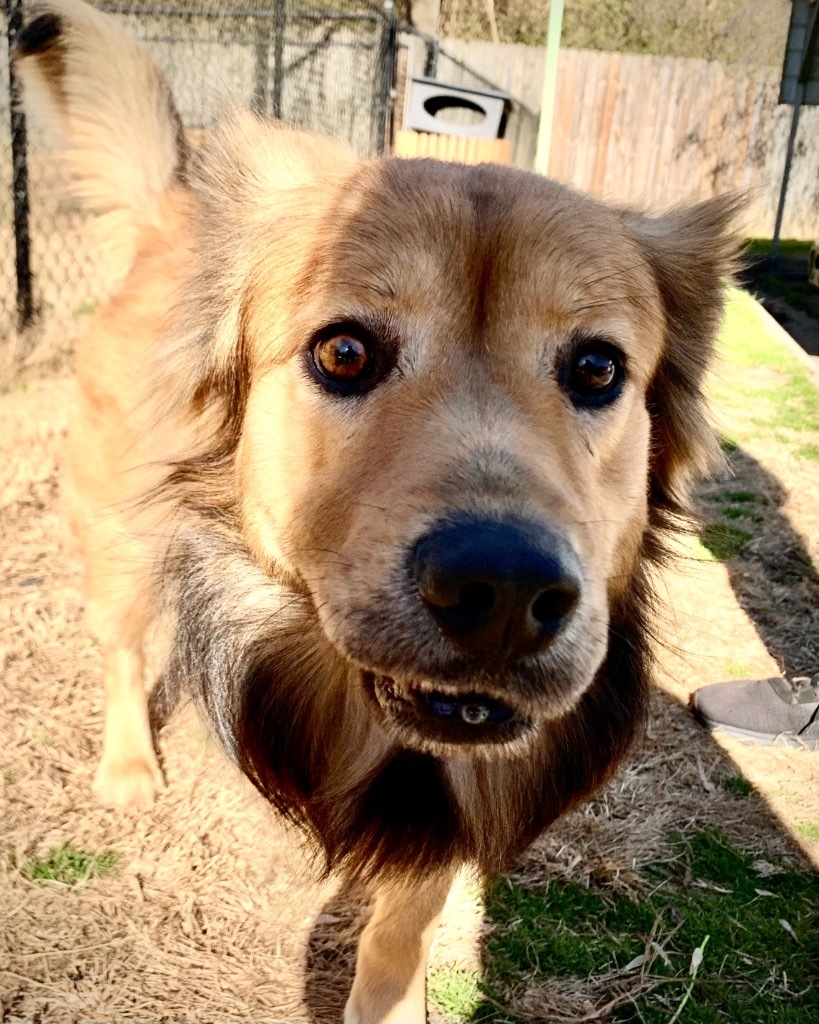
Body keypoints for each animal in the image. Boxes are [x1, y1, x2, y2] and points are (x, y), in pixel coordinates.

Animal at [15, 4, 737, 1019]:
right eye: (344, 352)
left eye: (597, 368)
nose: (502, 593)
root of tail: (174, 223)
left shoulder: (440, 798)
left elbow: (402, 920)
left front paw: (389, 997)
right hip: (115, 539)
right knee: (121, 650)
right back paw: (126, 769)